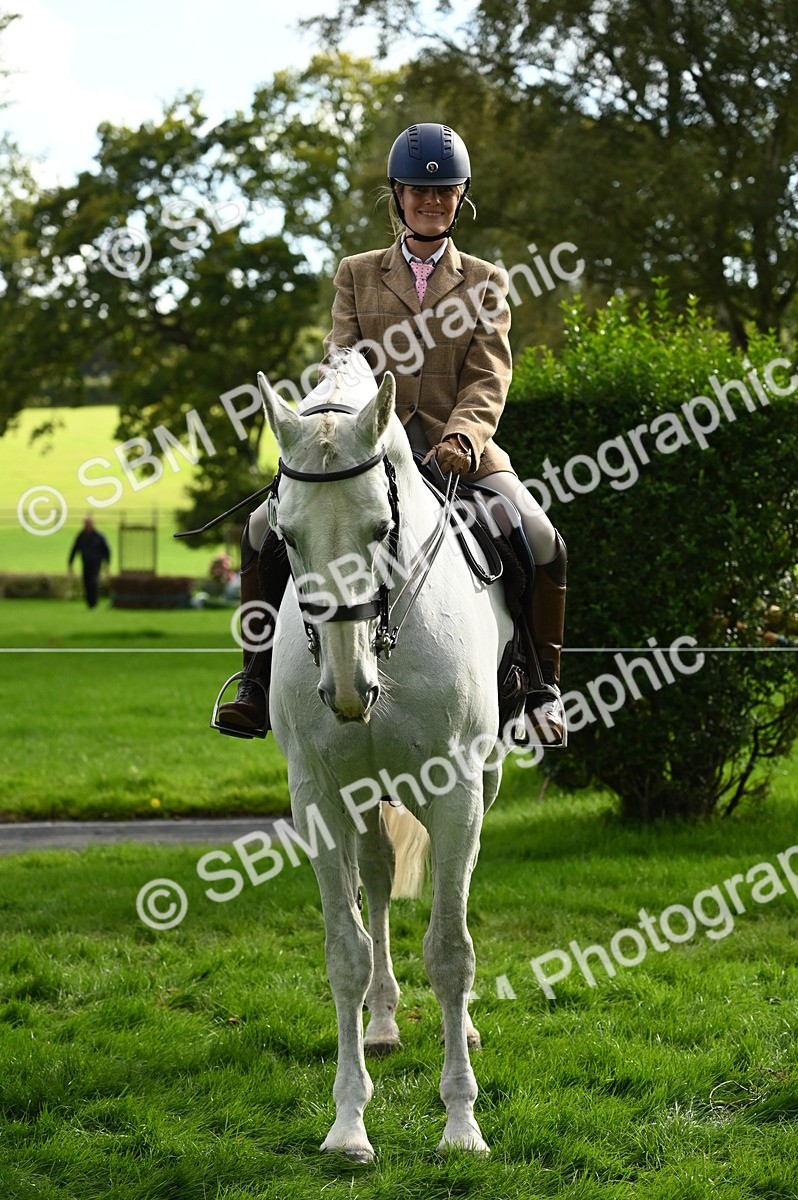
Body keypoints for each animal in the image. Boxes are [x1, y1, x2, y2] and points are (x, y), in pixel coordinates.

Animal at [257, 353, 516, 1161]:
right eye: (287, 538)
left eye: (381, 527)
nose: (347, 689)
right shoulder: (317, 796)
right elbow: (346, 951)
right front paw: (348, 1124)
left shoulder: (458, 789)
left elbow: (451, 951)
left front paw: (461, 1125)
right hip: (362, 794)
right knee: (374, 879)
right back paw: (382, 1023)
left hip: (481, 783)